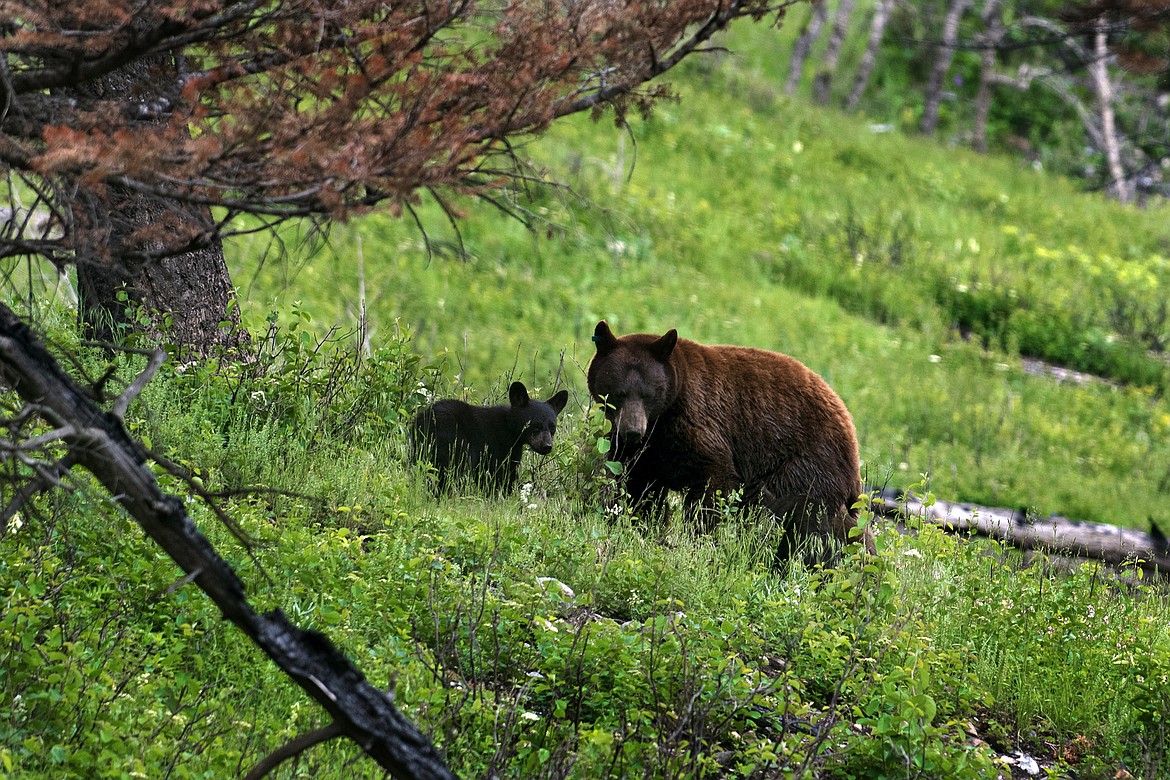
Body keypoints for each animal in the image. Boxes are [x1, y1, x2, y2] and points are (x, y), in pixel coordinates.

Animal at [411, 381, 570, 498]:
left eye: (552, 427)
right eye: (535, 426)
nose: (547, 446)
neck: (510, 429)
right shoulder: (497, 446)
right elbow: (500, 475)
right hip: (453, 443)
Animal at [589, 320, 875, 558]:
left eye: (648, 394)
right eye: (618, 392)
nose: (632, 431)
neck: (662, 419)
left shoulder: (697, 422)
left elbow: (713, 481)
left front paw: (699, 539)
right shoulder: (648, 449)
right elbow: (637, 485)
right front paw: (639, 525)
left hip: (805, 464)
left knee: (806, 520)